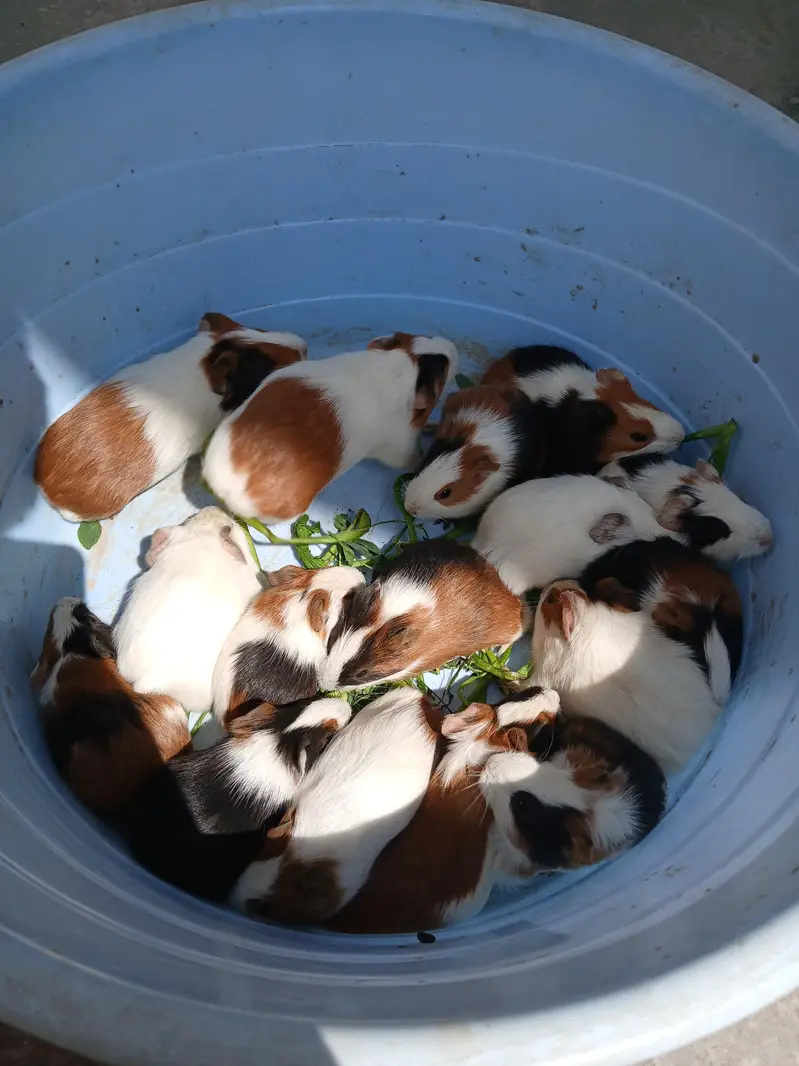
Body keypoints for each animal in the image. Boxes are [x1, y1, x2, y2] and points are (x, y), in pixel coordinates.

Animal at [203, 331, 457, 524]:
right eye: (444, 369)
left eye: (420, 337)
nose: (452, 347)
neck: (401, 367)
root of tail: (228, 483)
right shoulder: (399, 447)